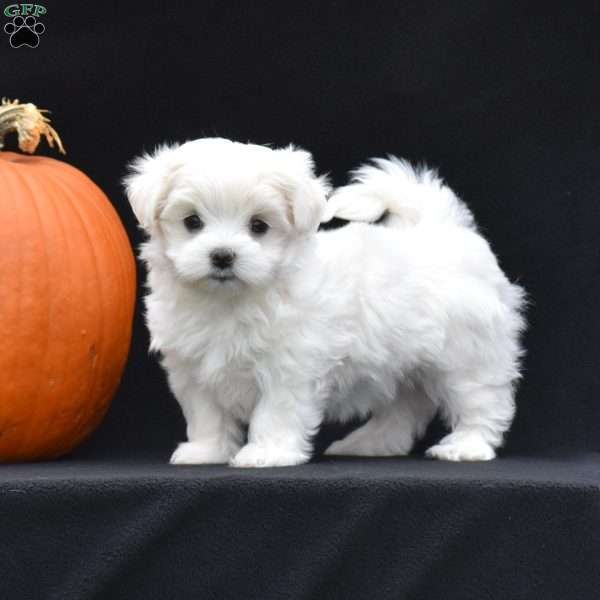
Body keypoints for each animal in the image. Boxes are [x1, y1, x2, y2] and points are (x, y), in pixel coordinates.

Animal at [125, 138, 524, 466]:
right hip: (400, 363)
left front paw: (266, 452)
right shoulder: (192, 368)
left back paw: (467, 445)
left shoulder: (289, 364)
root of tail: (442, 228)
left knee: (481, 399)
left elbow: (276, 410)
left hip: (467, 351)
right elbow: (206, 414)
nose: (223, 256)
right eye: (192, 221)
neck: (231, 300)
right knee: (403, 409)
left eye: (258, 226)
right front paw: (206, 451)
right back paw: (370, 443)